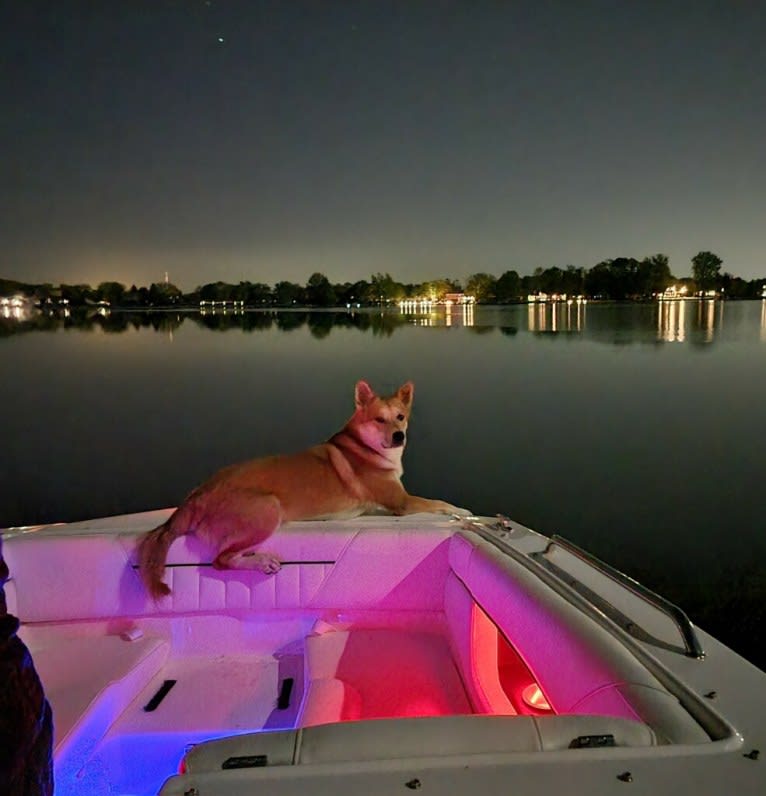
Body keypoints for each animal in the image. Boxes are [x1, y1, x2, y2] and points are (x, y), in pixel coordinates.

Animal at [140, 380, 472, 596]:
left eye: (401, 417)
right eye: (380, 419)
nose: (399, 436)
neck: (365, 446)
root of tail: (197, 496)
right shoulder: (402, 503)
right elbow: (439, 502)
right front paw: (462, 510)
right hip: (267, 509)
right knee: (221, 560)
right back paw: (262, 561)